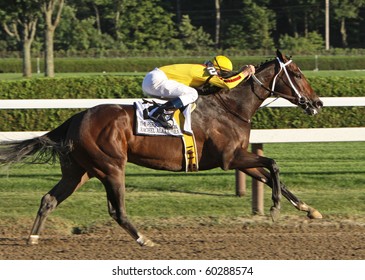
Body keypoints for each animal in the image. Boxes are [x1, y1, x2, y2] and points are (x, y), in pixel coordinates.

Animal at [0, 50, 322, 247]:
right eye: (297, 73)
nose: (317, 103)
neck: (231, 107)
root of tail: (76, 118)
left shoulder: (239, 159)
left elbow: (270, 174)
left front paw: (309, 210)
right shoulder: (231, 158)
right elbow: (273, 164)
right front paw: (275, 208)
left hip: (79, 170)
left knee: (49, 199)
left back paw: (33, 238)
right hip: (111, 166)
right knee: (117, 210)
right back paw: (144, 239)